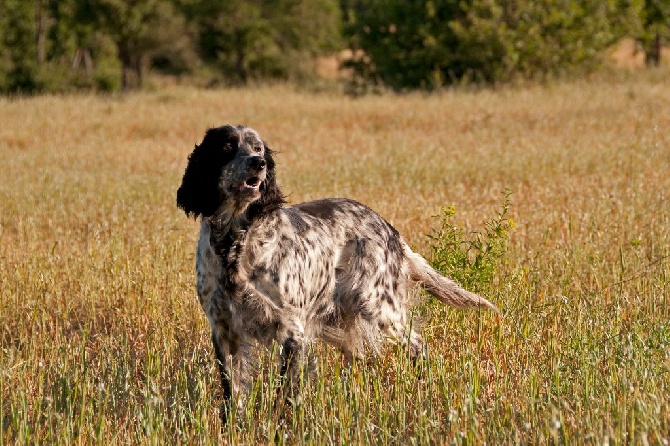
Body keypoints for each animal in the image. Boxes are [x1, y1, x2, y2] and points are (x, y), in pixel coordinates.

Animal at [176, 123, 502, 418]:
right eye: (228, 146)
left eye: (257, 148)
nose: (259, 163)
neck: (235, 242)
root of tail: (389, 228)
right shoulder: (224, 329)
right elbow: (232, 390)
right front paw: (235, 424)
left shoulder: (292, 328)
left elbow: (287, 391)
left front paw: (283, 425)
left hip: (382, 309)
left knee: (417, 345)